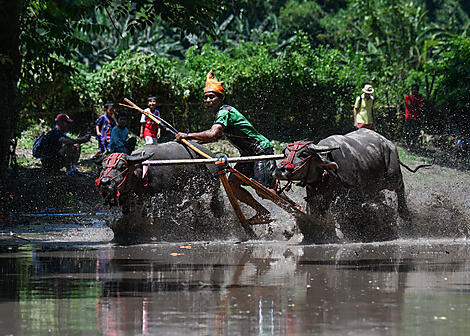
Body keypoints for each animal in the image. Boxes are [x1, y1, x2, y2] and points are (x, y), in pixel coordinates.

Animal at [272, 128, 430, 242]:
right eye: (285, 153)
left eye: (304, 154)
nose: (280, 170)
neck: (329, 174)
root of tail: (388, 143)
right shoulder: (316, 198)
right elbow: (317, 215)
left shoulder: (352, 196)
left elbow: (351, 214)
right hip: (373, 187)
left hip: (393, 176)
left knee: (400, 189)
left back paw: (405, 215)